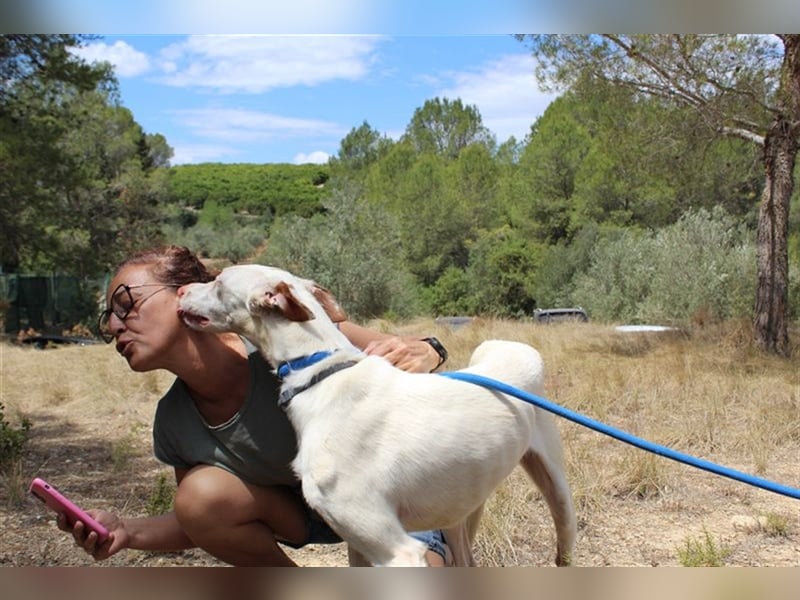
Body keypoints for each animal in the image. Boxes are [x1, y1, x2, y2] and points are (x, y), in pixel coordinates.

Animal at [178, 264, 576, 564]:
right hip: (460, 511)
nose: (180, 290)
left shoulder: (398, 549)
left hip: (559, 498)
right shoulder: (358, 546)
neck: (320, 374)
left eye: (217, 281)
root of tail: (516, 347)